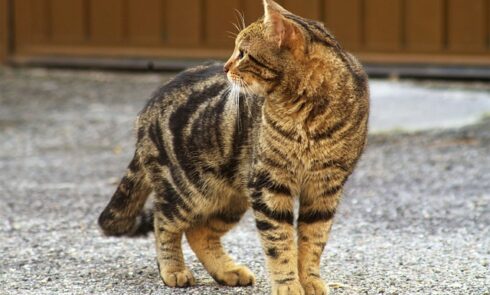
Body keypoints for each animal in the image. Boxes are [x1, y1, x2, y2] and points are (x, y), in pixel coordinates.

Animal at [98, 1, 368, 294]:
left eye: (242, 53)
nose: (226, 67)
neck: (307, 114)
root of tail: (147, 107)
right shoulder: (270, 185)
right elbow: (280, 243)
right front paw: (287, 285)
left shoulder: (325, 188)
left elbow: (313, 242)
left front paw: (309, 281)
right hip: (189, 191)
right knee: (164, 223)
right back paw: (174, 270)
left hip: (232, 196)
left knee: (199, 232)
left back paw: (228, 271)